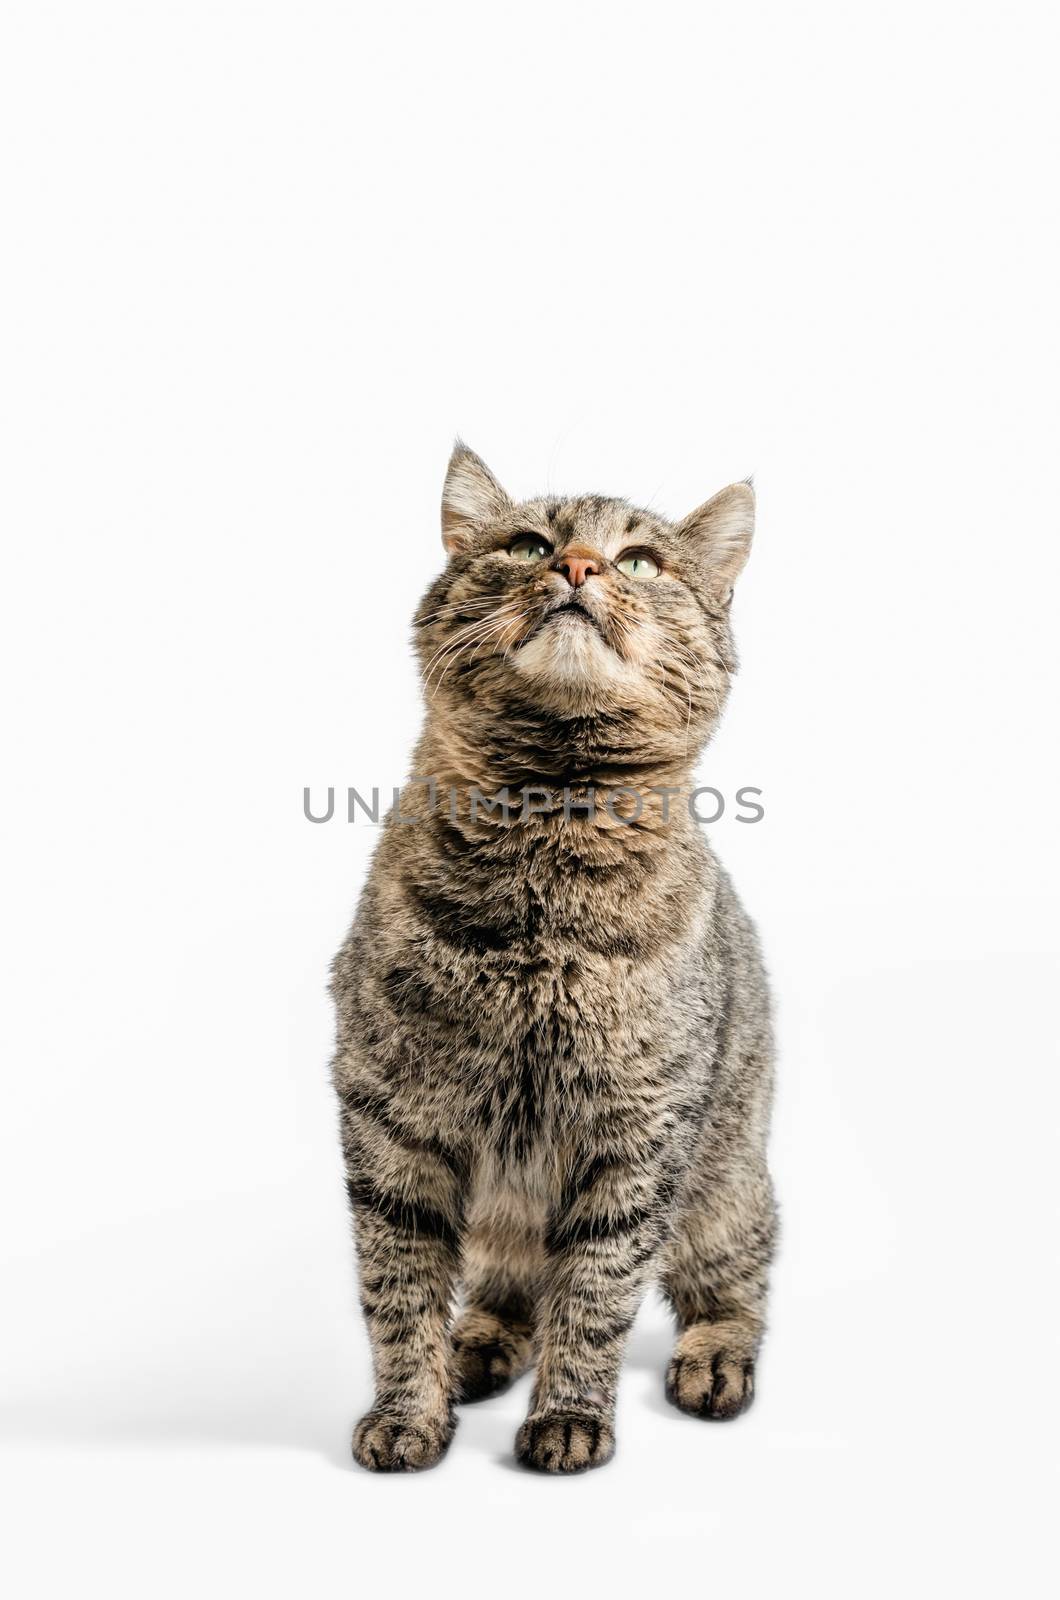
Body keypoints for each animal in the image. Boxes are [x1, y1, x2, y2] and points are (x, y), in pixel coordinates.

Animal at [333, 448, 781, 1472]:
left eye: (643, 561)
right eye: (530, 544)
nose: (578, 566)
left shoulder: (639, 1136)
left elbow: (596, 1292)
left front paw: (571, 1416)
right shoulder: (391, 1123)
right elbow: (398, 1294)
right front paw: (408, 1412)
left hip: (728, 1177)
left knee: (738, 1277)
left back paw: (715, 1358)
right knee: (507, 1289)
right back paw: (478, 1347)